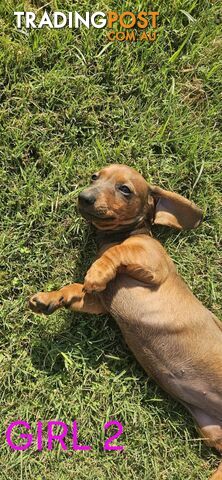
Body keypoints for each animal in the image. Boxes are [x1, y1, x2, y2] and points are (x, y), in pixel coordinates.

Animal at [29, 165, 222, 480]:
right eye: (95, 177)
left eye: (125, 189)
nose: (84, 197)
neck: (118, 235)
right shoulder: (98, 303)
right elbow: (76, 288)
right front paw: (50, 298)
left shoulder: (151, 262)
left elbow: (115, 255)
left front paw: (96, 271)